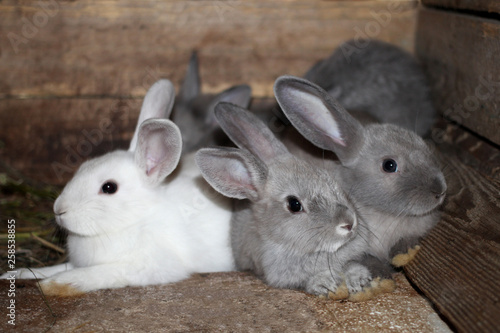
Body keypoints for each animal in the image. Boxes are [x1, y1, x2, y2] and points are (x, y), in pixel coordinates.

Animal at [1, 78, 234, 296]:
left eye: (109, 187)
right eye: (82, 167)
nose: (59, 210)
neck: (135, 221)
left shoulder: (148, 266)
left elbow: (97, 273)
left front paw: (55, 284)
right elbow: (59, 266)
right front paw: (16, 273)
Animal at [195, 102, 390, 298]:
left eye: (329, 178)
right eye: (294, 205)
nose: (349, 224)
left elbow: (352, 264)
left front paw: (359, 281)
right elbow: (308, 281)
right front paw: (326, 284)